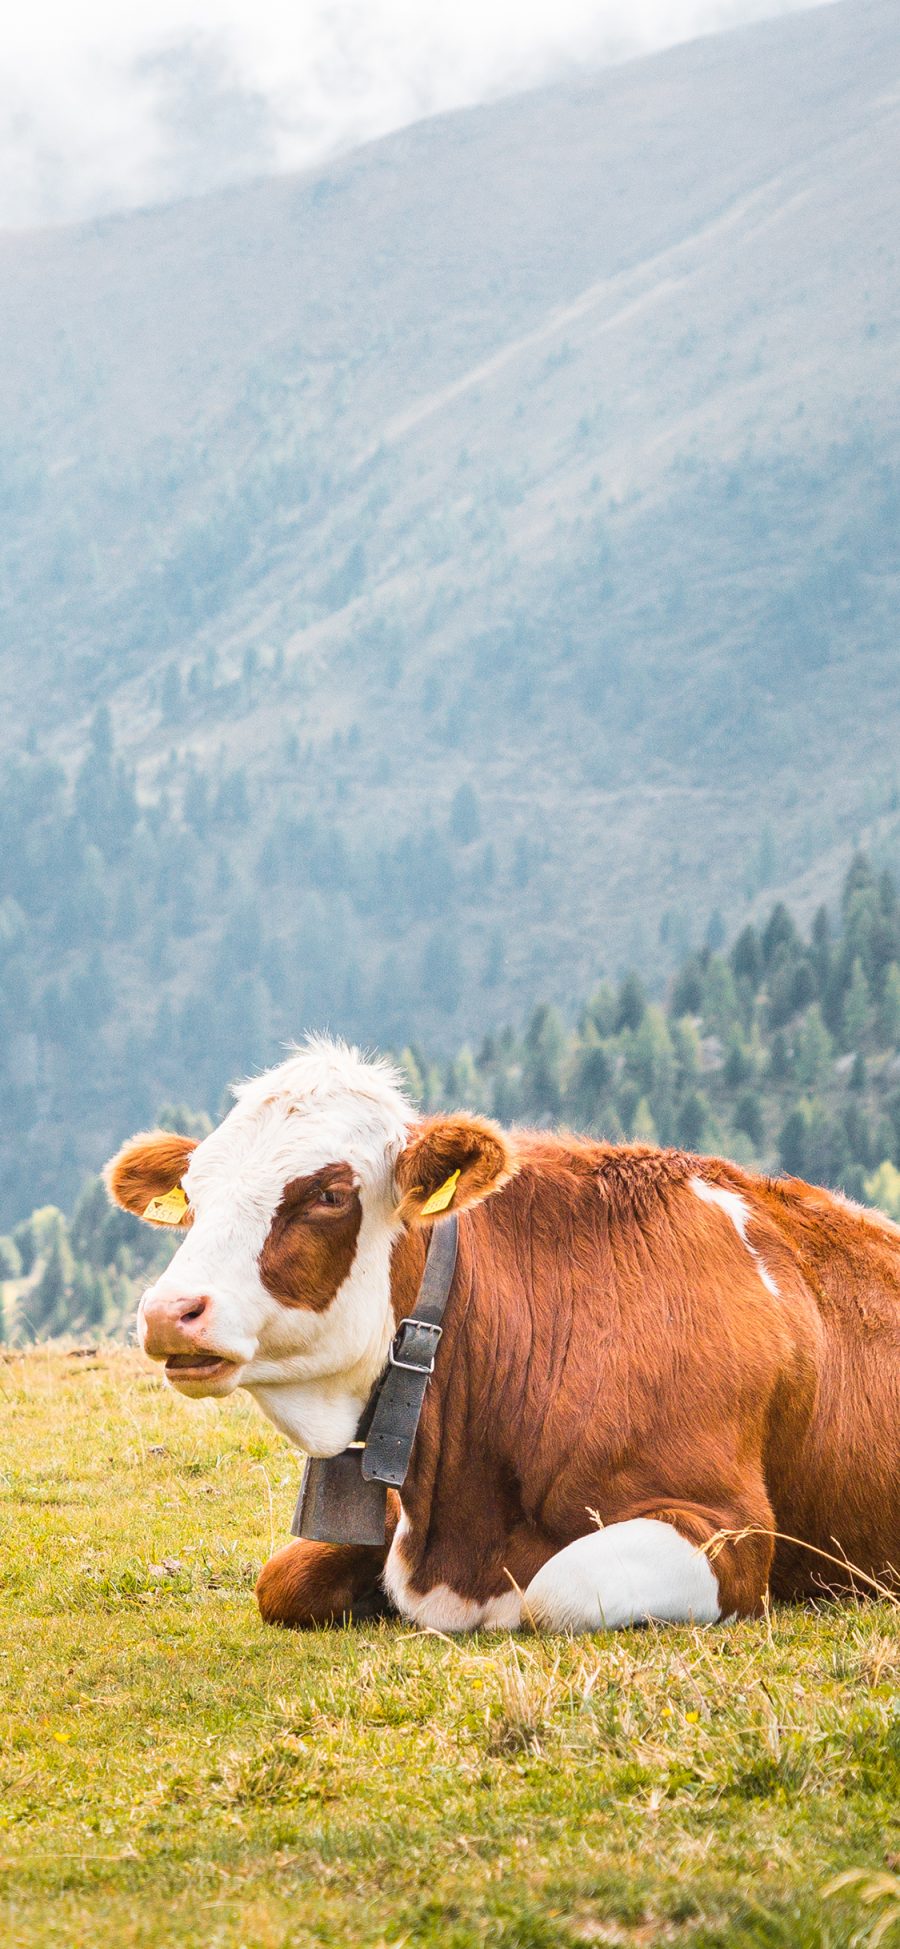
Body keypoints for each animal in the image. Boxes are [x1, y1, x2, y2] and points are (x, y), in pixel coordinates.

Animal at [105, 1036, 900, 1629]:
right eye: (194, 1193)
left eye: (328, 1194)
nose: (169, 1311)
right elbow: (283, 1576)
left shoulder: (733, 1528)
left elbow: (555, 1590)